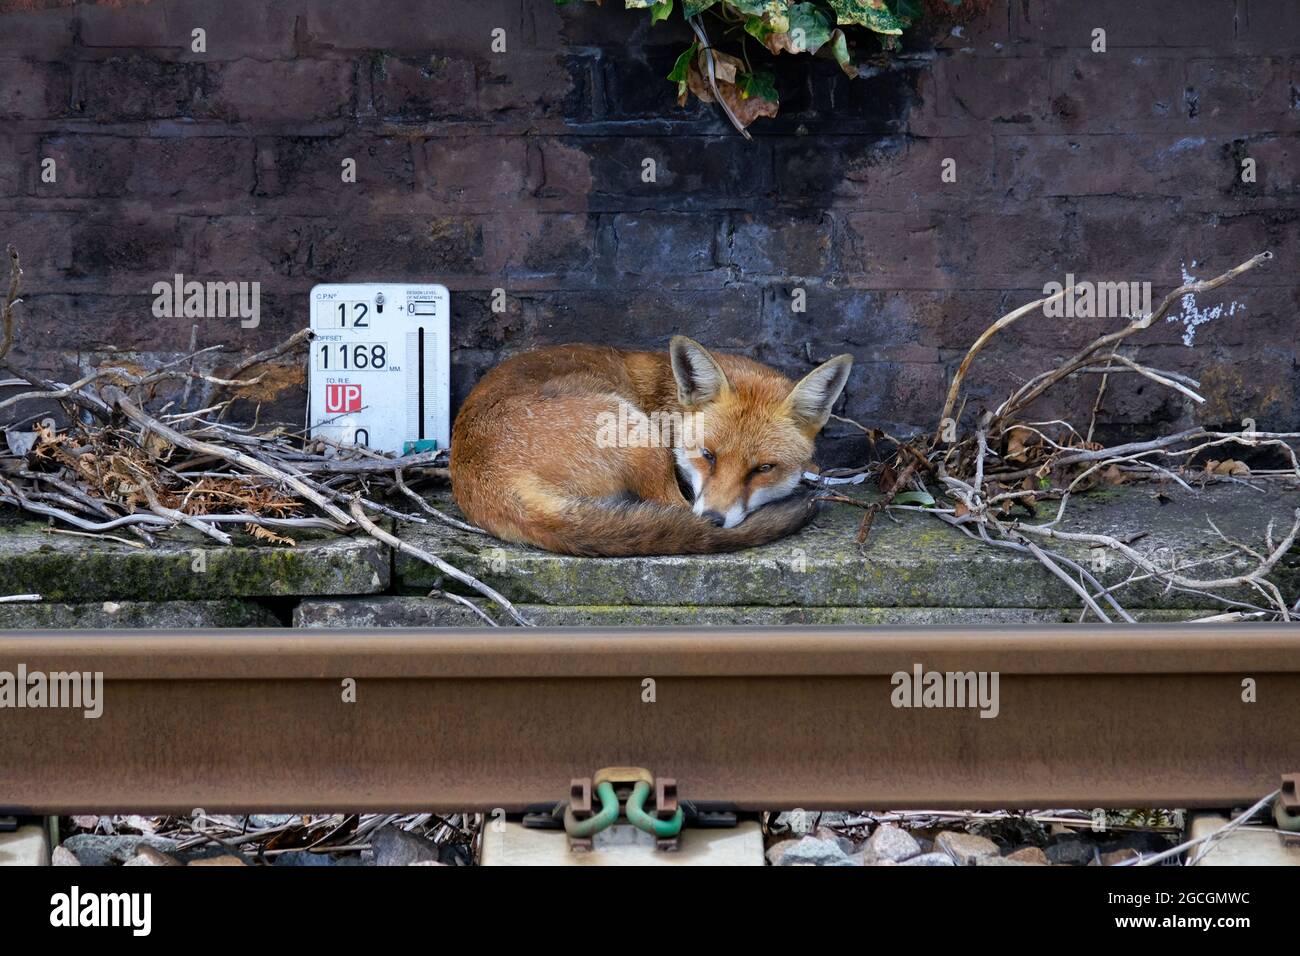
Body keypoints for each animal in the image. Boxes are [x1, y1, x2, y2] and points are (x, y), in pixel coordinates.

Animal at [449, 336, 853, 556]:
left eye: (763, 469)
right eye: (707, 456)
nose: (714, 520)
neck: (669, 400)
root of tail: (486, 477)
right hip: (634, 433)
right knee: (672, 506)